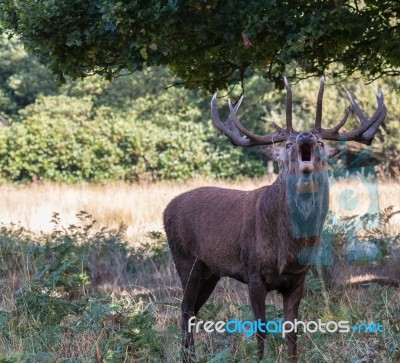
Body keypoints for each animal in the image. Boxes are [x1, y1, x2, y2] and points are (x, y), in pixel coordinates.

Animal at [162, 78, 388, 362]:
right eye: (288, 144)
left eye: (320, 143)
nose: (305, 136)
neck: (286, 248)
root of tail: (166, 209)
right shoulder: (253, 272)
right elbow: (260, 329)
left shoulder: (298, 277)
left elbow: (292, 330)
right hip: (185, 259)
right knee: (185, 309)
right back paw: (187, 356)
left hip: (210, 270)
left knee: (193, 310)